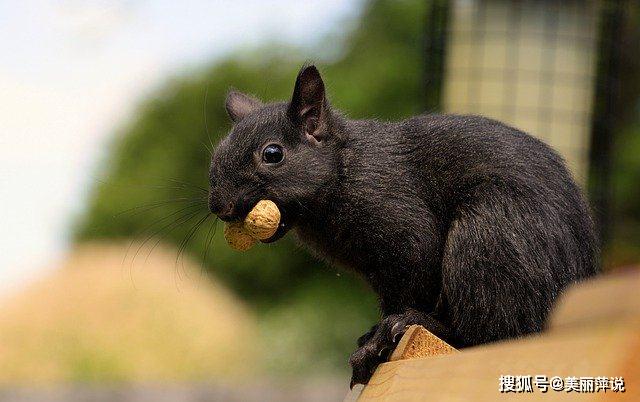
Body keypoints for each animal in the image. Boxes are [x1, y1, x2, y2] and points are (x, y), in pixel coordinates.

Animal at [210, 66, 600, 386]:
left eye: (272, 154)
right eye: (216, 154)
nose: (219, 206)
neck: (345, 169)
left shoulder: (402, 225)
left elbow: (412, 284)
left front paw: (381, 338)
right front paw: (373, 335)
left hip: (489, 239)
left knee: (489, 334)